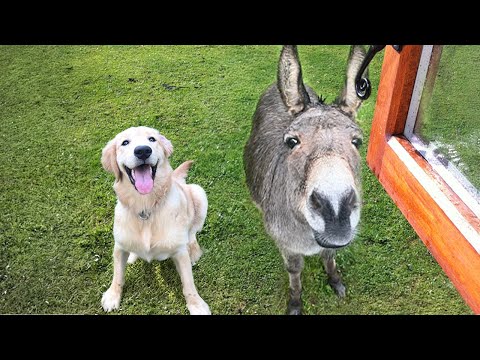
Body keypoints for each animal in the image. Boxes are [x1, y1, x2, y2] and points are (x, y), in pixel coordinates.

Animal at [100, 126, 209, 316]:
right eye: (125, 142)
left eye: (152, 139)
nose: (143, 151)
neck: (145, 207)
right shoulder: (119, 247)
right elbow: (117, 275)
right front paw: (113, 295)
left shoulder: (179, 251)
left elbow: (188, 283)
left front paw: (197, 305)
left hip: (199, 193)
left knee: (192, 233)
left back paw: (193, 251)